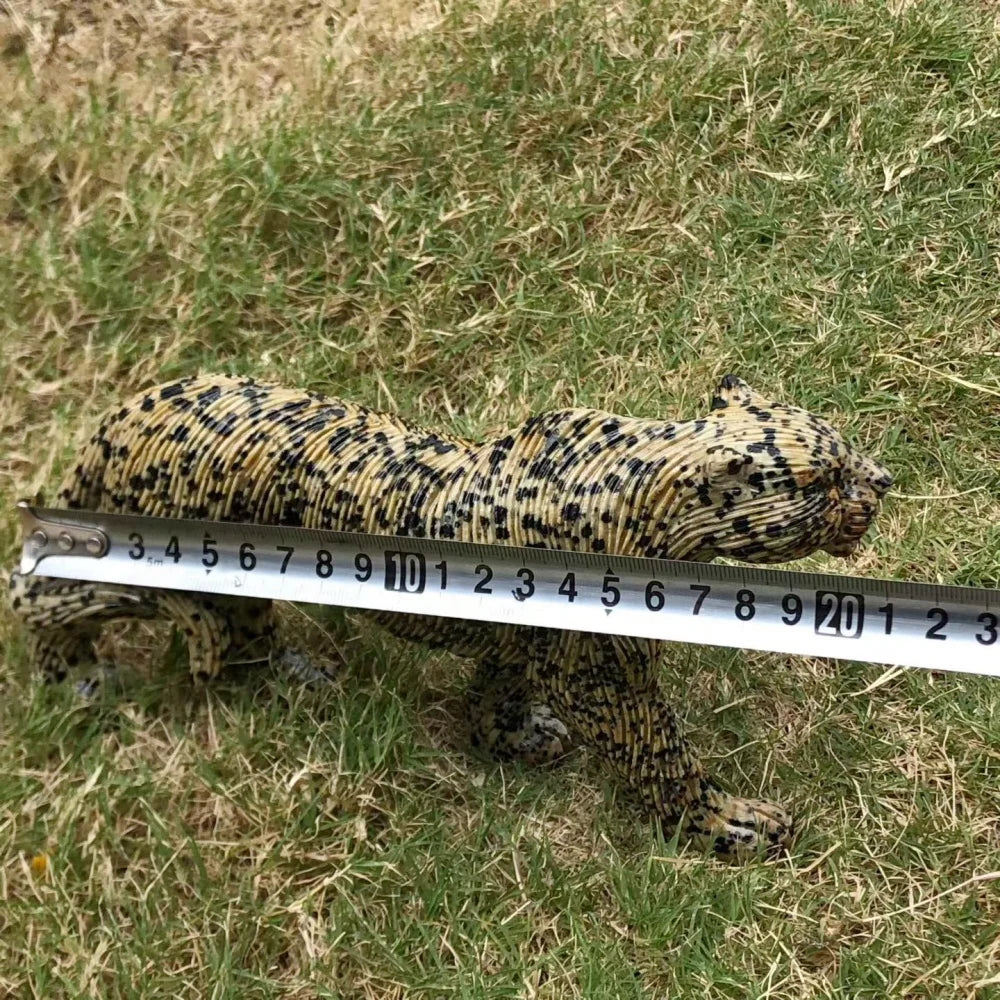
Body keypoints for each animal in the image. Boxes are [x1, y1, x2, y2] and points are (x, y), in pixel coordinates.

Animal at [7, 373, 892, 858]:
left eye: (844, 450)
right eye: (820, 477)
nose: (882, 481)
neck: (637, 495)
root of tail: (116, 422)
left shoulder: (526, 644)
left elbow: (498, 691)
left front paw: (515, 736)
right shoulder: (610, 680)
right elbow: (664, 760)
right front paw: (730, 826)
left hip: (231, 595)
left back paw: (299, 676)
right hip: (167, 583)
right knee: (44, 592)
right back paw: (79, 678)